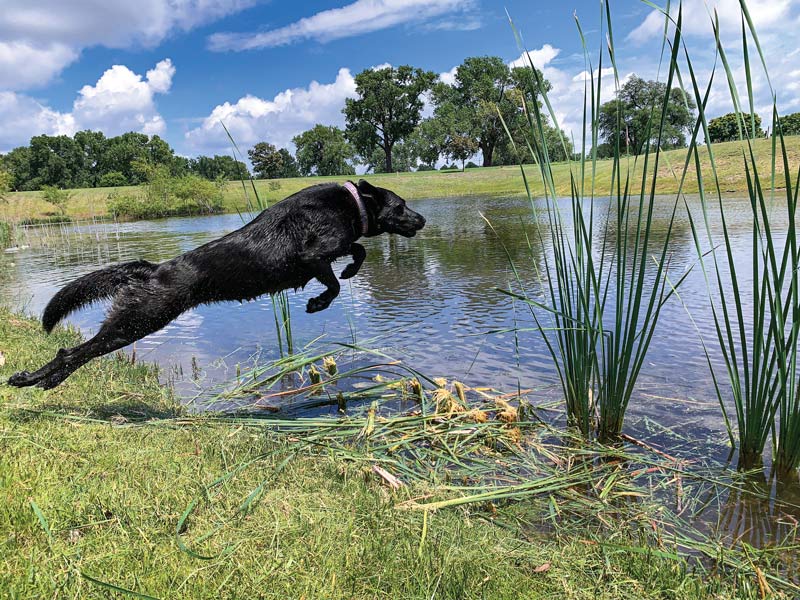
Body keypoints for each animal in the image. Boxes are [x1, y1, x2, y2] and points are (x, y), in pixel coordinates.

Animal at [6, 179, 424, 390]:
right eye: (401, 205)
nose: (422, 220)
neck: (352, 203)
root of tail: (152, 270)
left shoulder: (334, 246)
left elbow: (358, 250)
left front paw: (352, 271)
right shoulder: (312, 256)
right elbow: (335, 282)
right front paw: (318, 302)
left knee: (75, 350)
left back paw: (29, 379)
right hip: (137, 321)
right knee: (75, 352)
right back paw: (40, 379)